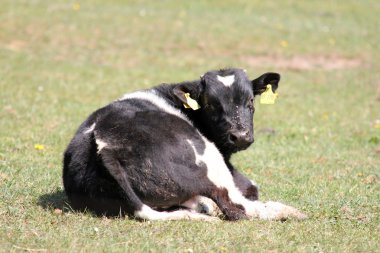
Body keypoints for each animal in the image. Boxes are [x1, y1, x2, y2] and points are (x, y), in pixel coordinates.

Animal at [62, 68, 306, 220]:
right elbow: (251, 189)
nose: (240, 136)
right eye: (210, 104)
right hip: (207, 157)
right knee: (237, 206)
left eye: (251, 100)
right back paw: (289, 211)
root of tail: (103, 141)